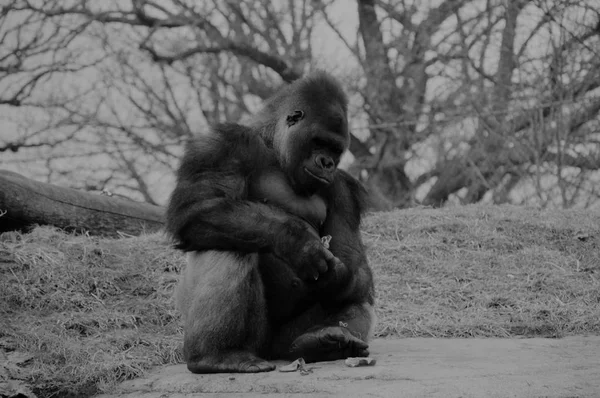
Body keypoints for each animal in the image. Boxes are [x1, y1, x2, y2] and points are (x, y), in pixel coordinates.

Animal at [165, 71, 376, 374]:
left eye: (335, 149)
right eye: (318, 142)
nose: (327, 163)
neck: (273, 146)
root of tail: (272, 351)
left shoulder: (343, 189)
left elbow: (352, 262)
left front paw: (337, 275)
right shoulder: (223, 145)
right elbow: (197, 209)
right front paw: (296, 241)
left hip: (283, 342)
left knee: (356, 296)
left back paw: (319, 344)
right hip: (255, 342)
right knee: (229, 244)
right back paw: (215, 355)